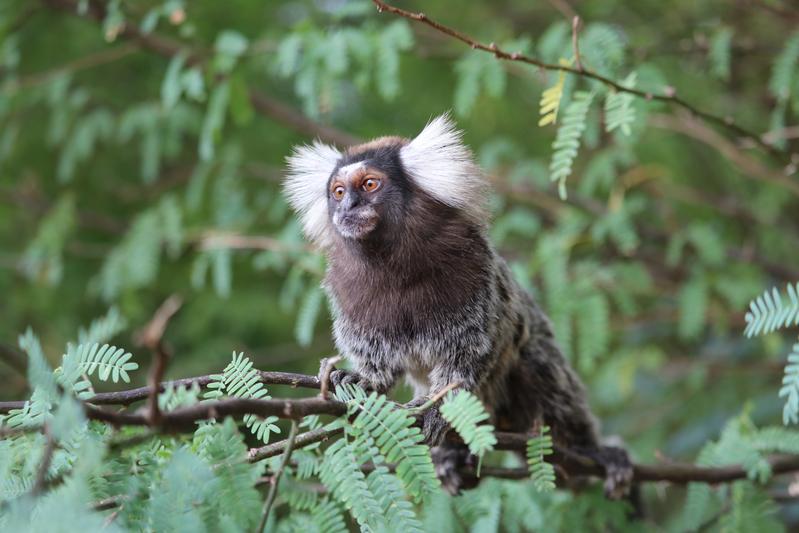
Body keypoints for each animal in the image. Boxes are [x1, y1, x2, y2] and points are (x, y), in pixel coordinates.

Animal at [284, 114, 636, 496]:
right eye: (337, 192)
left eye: (369, 184)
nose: (347, 207)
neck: (392, 264)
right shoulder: (349, 294)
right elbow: (380, 361)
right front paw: (364, 378)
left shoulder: (474, 274)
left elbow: (466, 356)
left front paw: (435, 408)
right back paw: (453, 456)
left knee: (543, 374)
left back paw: (591, 452)